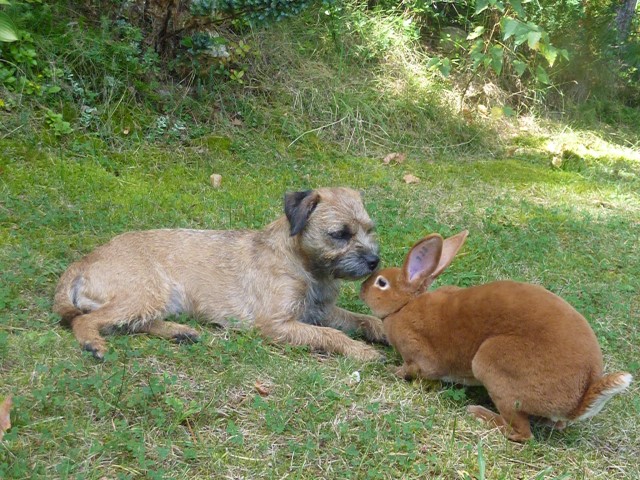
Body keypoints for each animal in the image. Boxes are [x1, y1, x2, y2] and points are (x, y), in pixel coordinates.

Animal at [53, 188, 384, 360]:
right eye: (340, 234)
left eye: (369, 229)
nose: (374, 261)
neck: (304, 264)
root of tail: (84, 260)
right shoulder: (276, 324)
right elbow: (330, 334)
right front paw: (360, 349)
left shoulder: (321, 311)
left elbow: (363, 319)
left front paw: (381, 330)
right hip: (147, 291)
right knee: (87, 320)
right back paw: (92, 342)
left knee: (134, 324)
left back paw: (179, 332)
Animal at [358, 231, 632, 440]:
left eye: (381, 283)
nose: (362, 288)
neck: (404, 306)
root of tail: (579, 398)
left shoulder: (420, 356)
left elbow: (412, 370)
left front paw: (392, 371)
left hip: (492, 364)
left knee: (522, 433)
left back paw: (478, 413)